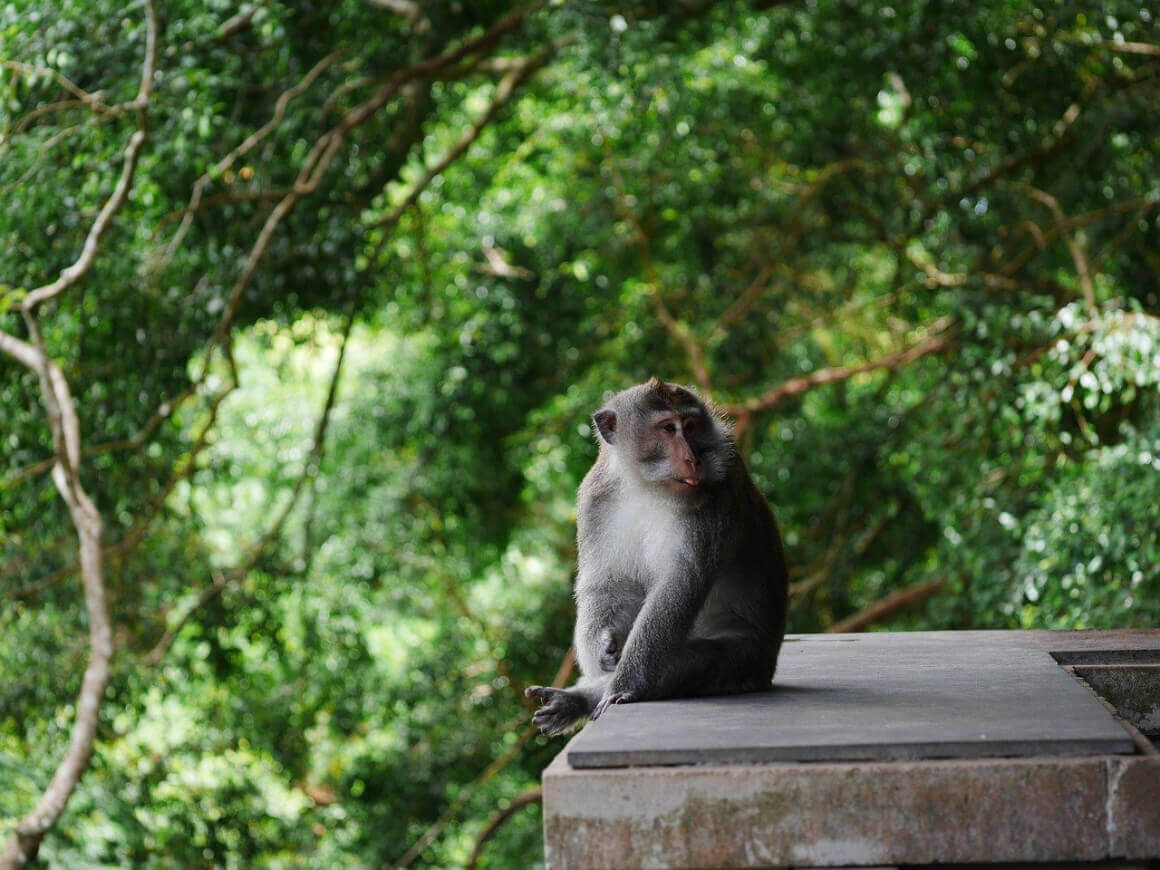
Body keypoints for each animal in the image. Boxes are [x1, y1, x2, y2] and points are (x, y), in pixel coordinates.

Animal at [526, 378, 788, 737]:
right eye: (667, 428)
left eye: (689, 426)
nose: (693, 458)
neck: (647, 488)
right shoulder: (595, 496)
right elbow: (606, 583)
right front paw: (603, 643)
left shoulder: (715, 496)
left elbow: (680, 586)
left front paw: (623, 686)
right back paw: (574, 700)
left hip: (749, 659)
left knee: (693, 662)